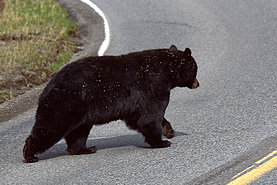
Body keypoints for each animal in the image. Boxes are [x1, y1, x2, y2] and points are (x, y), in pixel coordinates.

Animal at [22, 44, 197, 162]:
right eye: (195, 69)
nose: (197, 83)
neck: (166, 70)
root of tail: (49, 86)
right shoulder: (154, 86)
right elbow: (150, 116)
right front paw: (162, 141)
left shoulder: (137, 102)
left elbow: (139, 117)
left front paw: (169, 130)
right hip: (65, 105)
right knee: (50, 128)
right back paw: (29, 154)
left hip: (80, 112)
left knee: (78, 132)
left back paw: (85, 149)